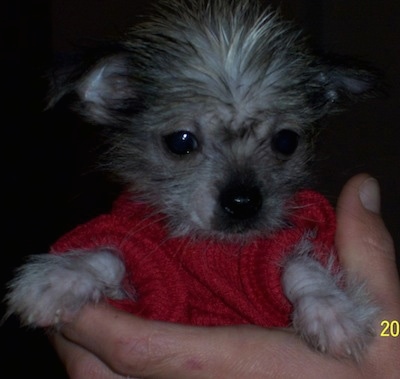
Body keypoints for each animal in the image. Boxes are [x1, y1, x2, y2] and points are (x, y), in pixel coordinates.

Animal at [7, 0, 382, 362]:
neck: (215, 248)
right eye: (181, 142)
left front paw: (331, 309)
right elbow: (113, 253)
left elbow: (300, 264)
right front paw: (65, 275)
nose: (243, 202)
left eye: (287, 141)